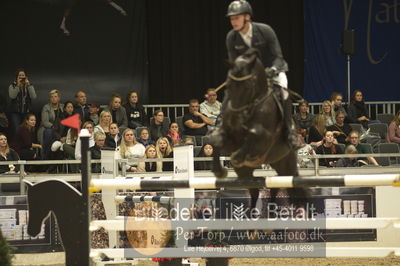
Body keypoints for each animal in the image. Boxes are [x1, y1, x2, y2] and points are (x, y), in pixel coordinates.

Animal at [209, 48, 306, 212]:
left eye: (248, 86)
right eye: (229, 86)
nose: (234, 119)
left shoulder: (264, 140)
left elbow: (255, 134)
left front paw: (238, 157)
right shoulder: (229, 138)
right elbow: (216, 140)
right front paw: (220, 171)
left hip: (286, 164)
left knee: (284, 185)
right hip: (251, 173)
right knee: (256, 191)